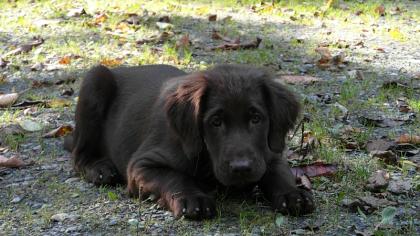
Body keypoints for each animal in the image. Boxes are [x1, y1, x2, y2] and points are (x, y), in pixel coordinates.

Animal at [65, 64, 314, 219]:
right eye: (215, 122)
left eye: (256, 118)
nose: (241, 168)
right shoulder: (140, 165)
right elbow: (175, 177)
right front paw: (194, 198)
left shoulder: (268, 154)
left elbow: (279, 173)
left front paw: (293, 195)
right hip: (95, 79)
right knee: (78, 156)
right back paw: (100, 169)